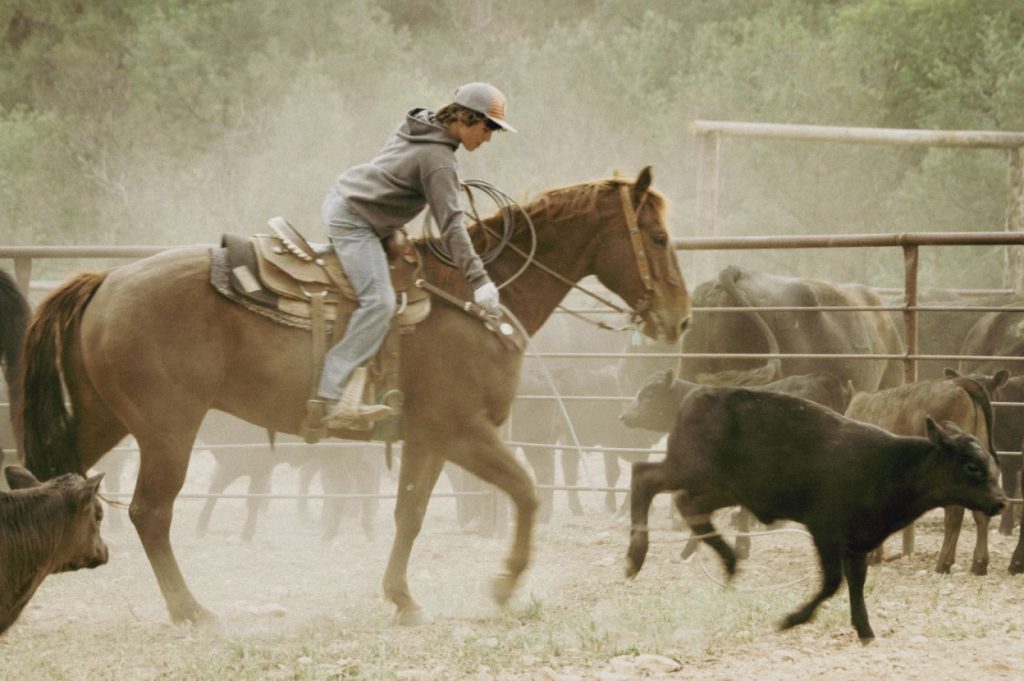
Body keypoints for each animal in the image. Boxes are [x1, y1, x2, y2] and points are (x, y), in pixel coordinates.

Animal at [18, 166, 688, 622]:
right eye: (656, 237)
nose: (679, 318)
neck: (472, 300)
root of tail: (106, 279)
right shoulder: (462, 428)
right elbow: (525, 492)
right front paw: (503, 584)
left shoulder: (427, 437)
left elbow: (409, 513)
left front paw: (402, 599)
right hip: (167, 430)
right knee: (151, 514)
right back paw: (193, 612)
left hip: (105, 419)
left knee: (57, 481)